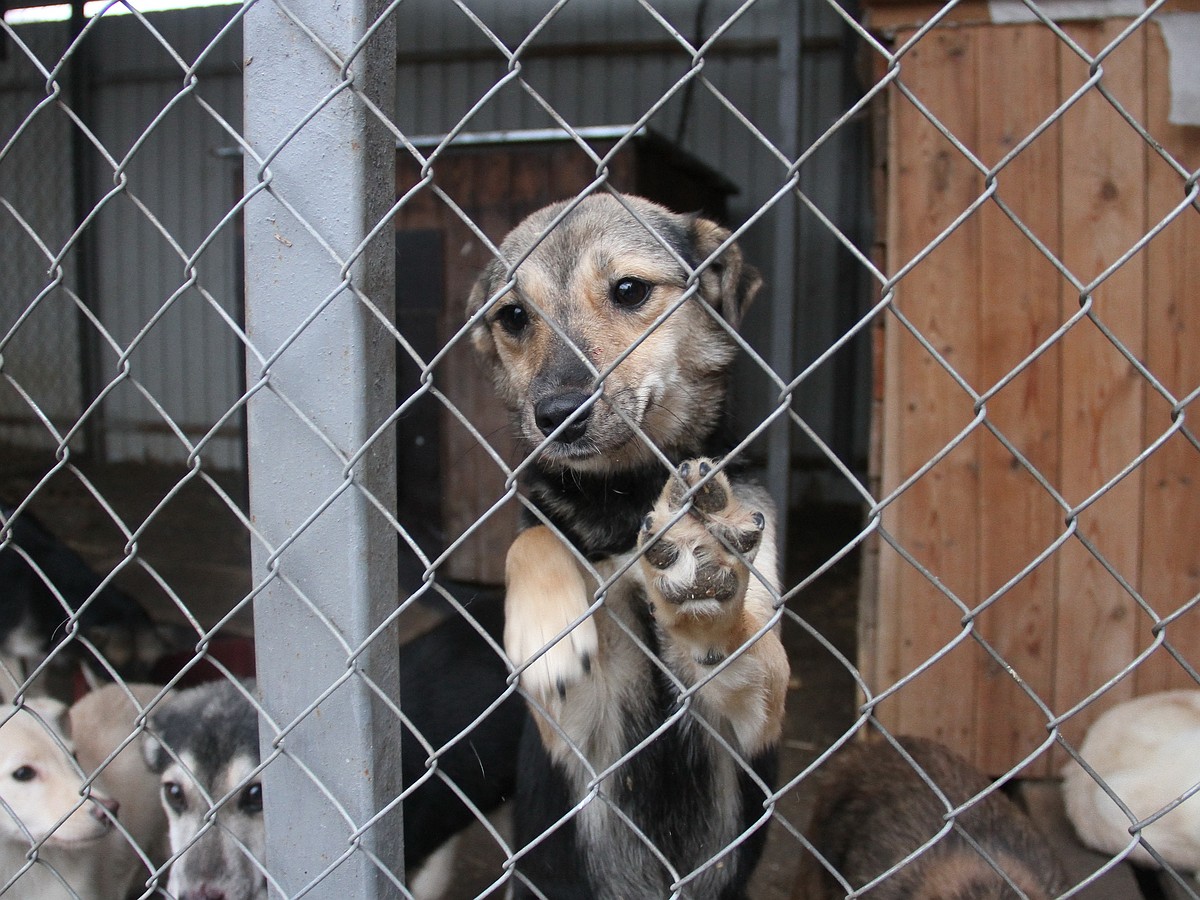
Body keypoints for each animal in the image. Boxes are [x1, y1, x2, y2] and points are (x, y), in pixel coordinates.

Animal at [465, 194, 787, 897]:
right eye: (514, 316)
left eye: (630, 290)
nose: (557, 414)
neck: (622, 500)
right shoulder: (574, 733)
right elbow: (532, 537)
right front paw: (549, 629)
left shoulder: (753, 728)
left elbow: (748, 654)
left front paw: (703, 600)